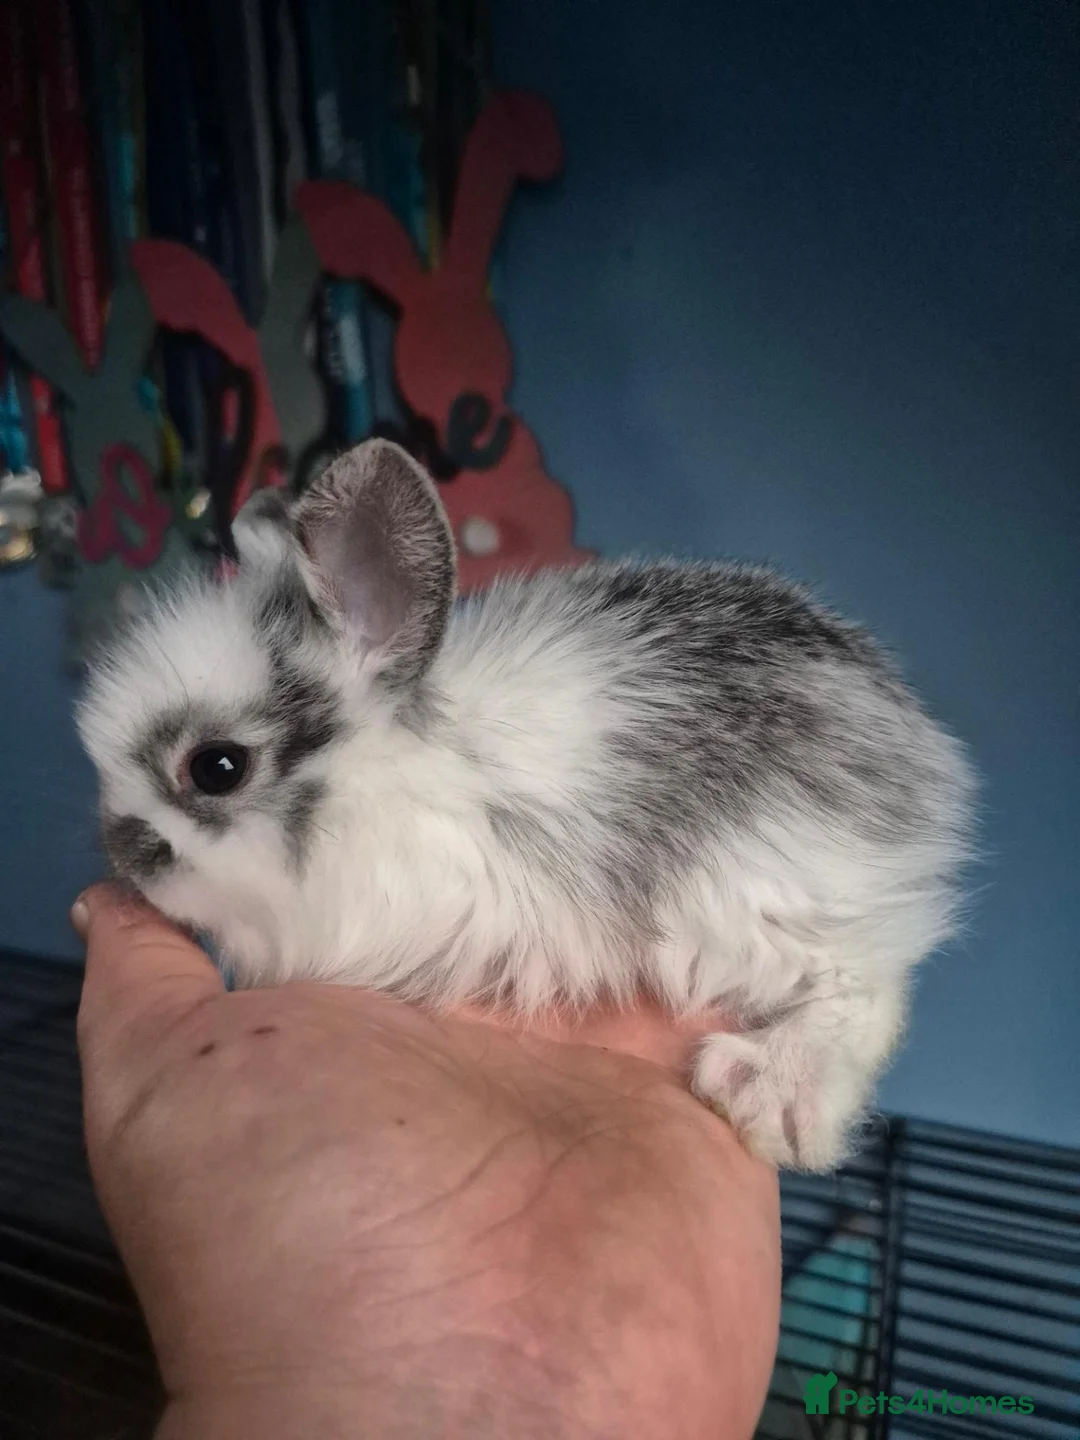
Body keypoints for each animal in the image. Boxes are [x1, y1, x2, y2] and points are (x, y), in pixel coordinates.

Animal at [77, 438, 976, 1171]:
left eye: (217, 768)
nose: (121, 851)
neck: (380, 780)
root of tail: (924, 750)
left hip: (763, 896)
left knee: (864, 988)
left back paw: (769, 1098)